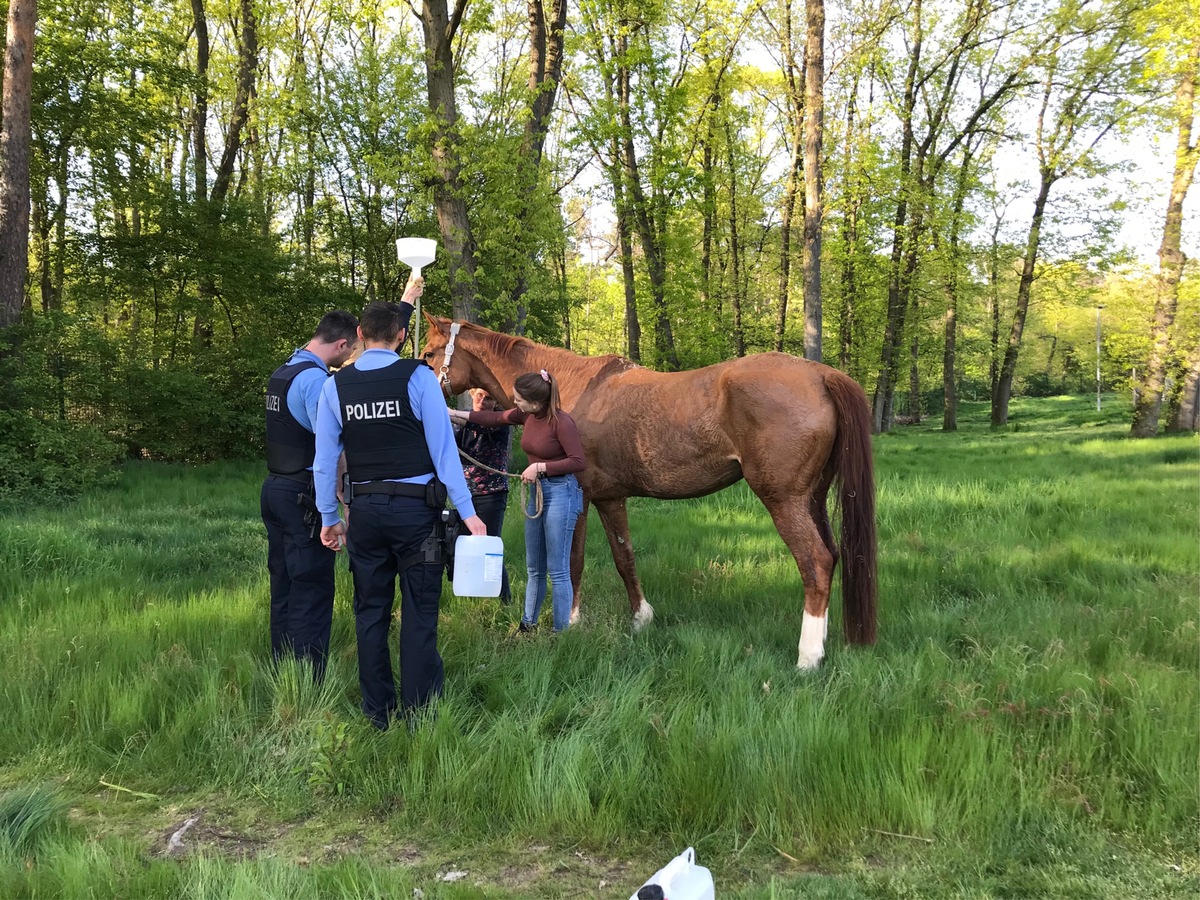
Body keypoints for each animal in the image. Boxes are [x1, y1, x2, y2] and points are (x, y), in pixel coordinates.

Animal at [424, 316, 883, 672]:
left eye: (428, 353)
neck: (571, 388)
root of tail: (821, 375)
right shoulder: (610, 497)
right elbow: (624, 556)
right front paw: (641, 618)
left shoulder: (580, 495)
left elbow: (574, 559)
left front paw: (572, 621)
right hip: (813, 499)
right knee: (832, 555)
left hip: (785, 500)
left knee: (816, 563)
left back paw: (808, 658)